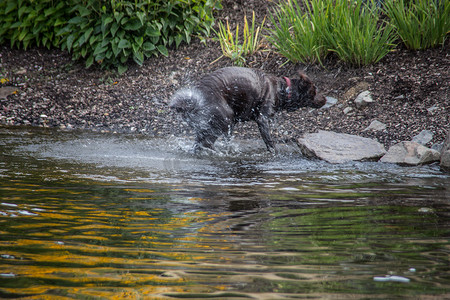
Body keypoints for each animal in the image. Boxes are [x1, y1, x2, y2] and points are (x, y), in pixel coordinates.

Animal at [171, 67, 326, 154]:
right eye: (315, 90)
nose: (325, 99)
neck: (283, 90)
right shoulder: (262, 119)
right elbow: (269, 142)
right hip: (224, 119)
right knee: (205, 144)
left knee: (199, 144)